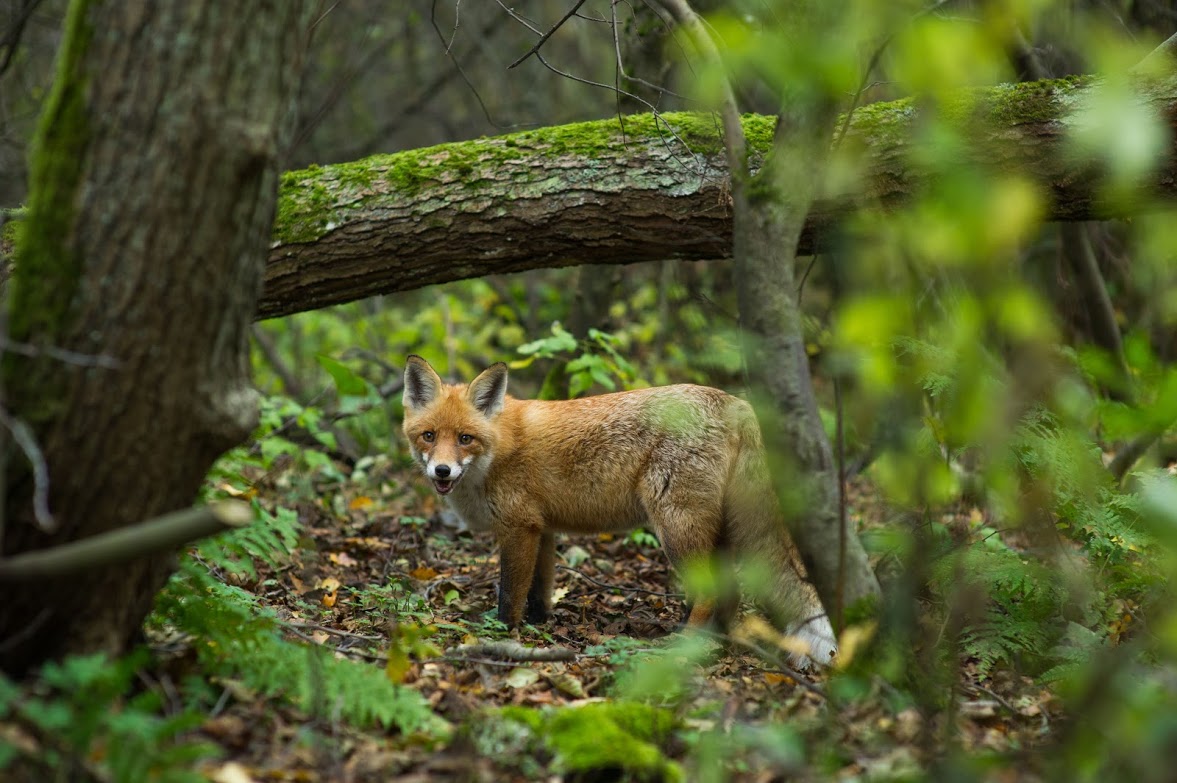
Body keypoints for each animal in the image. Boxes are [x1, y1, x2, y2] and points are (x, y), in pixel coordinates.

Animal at [404, 353, 838, 664]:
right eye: (429, 436)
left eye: (465, 438)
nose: (442, 470)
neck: (495, 454)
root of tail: (735, 402)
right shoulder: (543, 528)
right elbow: (539, 591)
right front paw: (539, 626)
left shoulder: (518, 528)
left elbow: (510, 594)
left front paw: (502, 635)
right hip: (717, 530)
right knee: (729, 595)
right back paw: (716, 642)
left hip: (675, 526)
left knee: (710, 593)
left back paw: (684, 648)